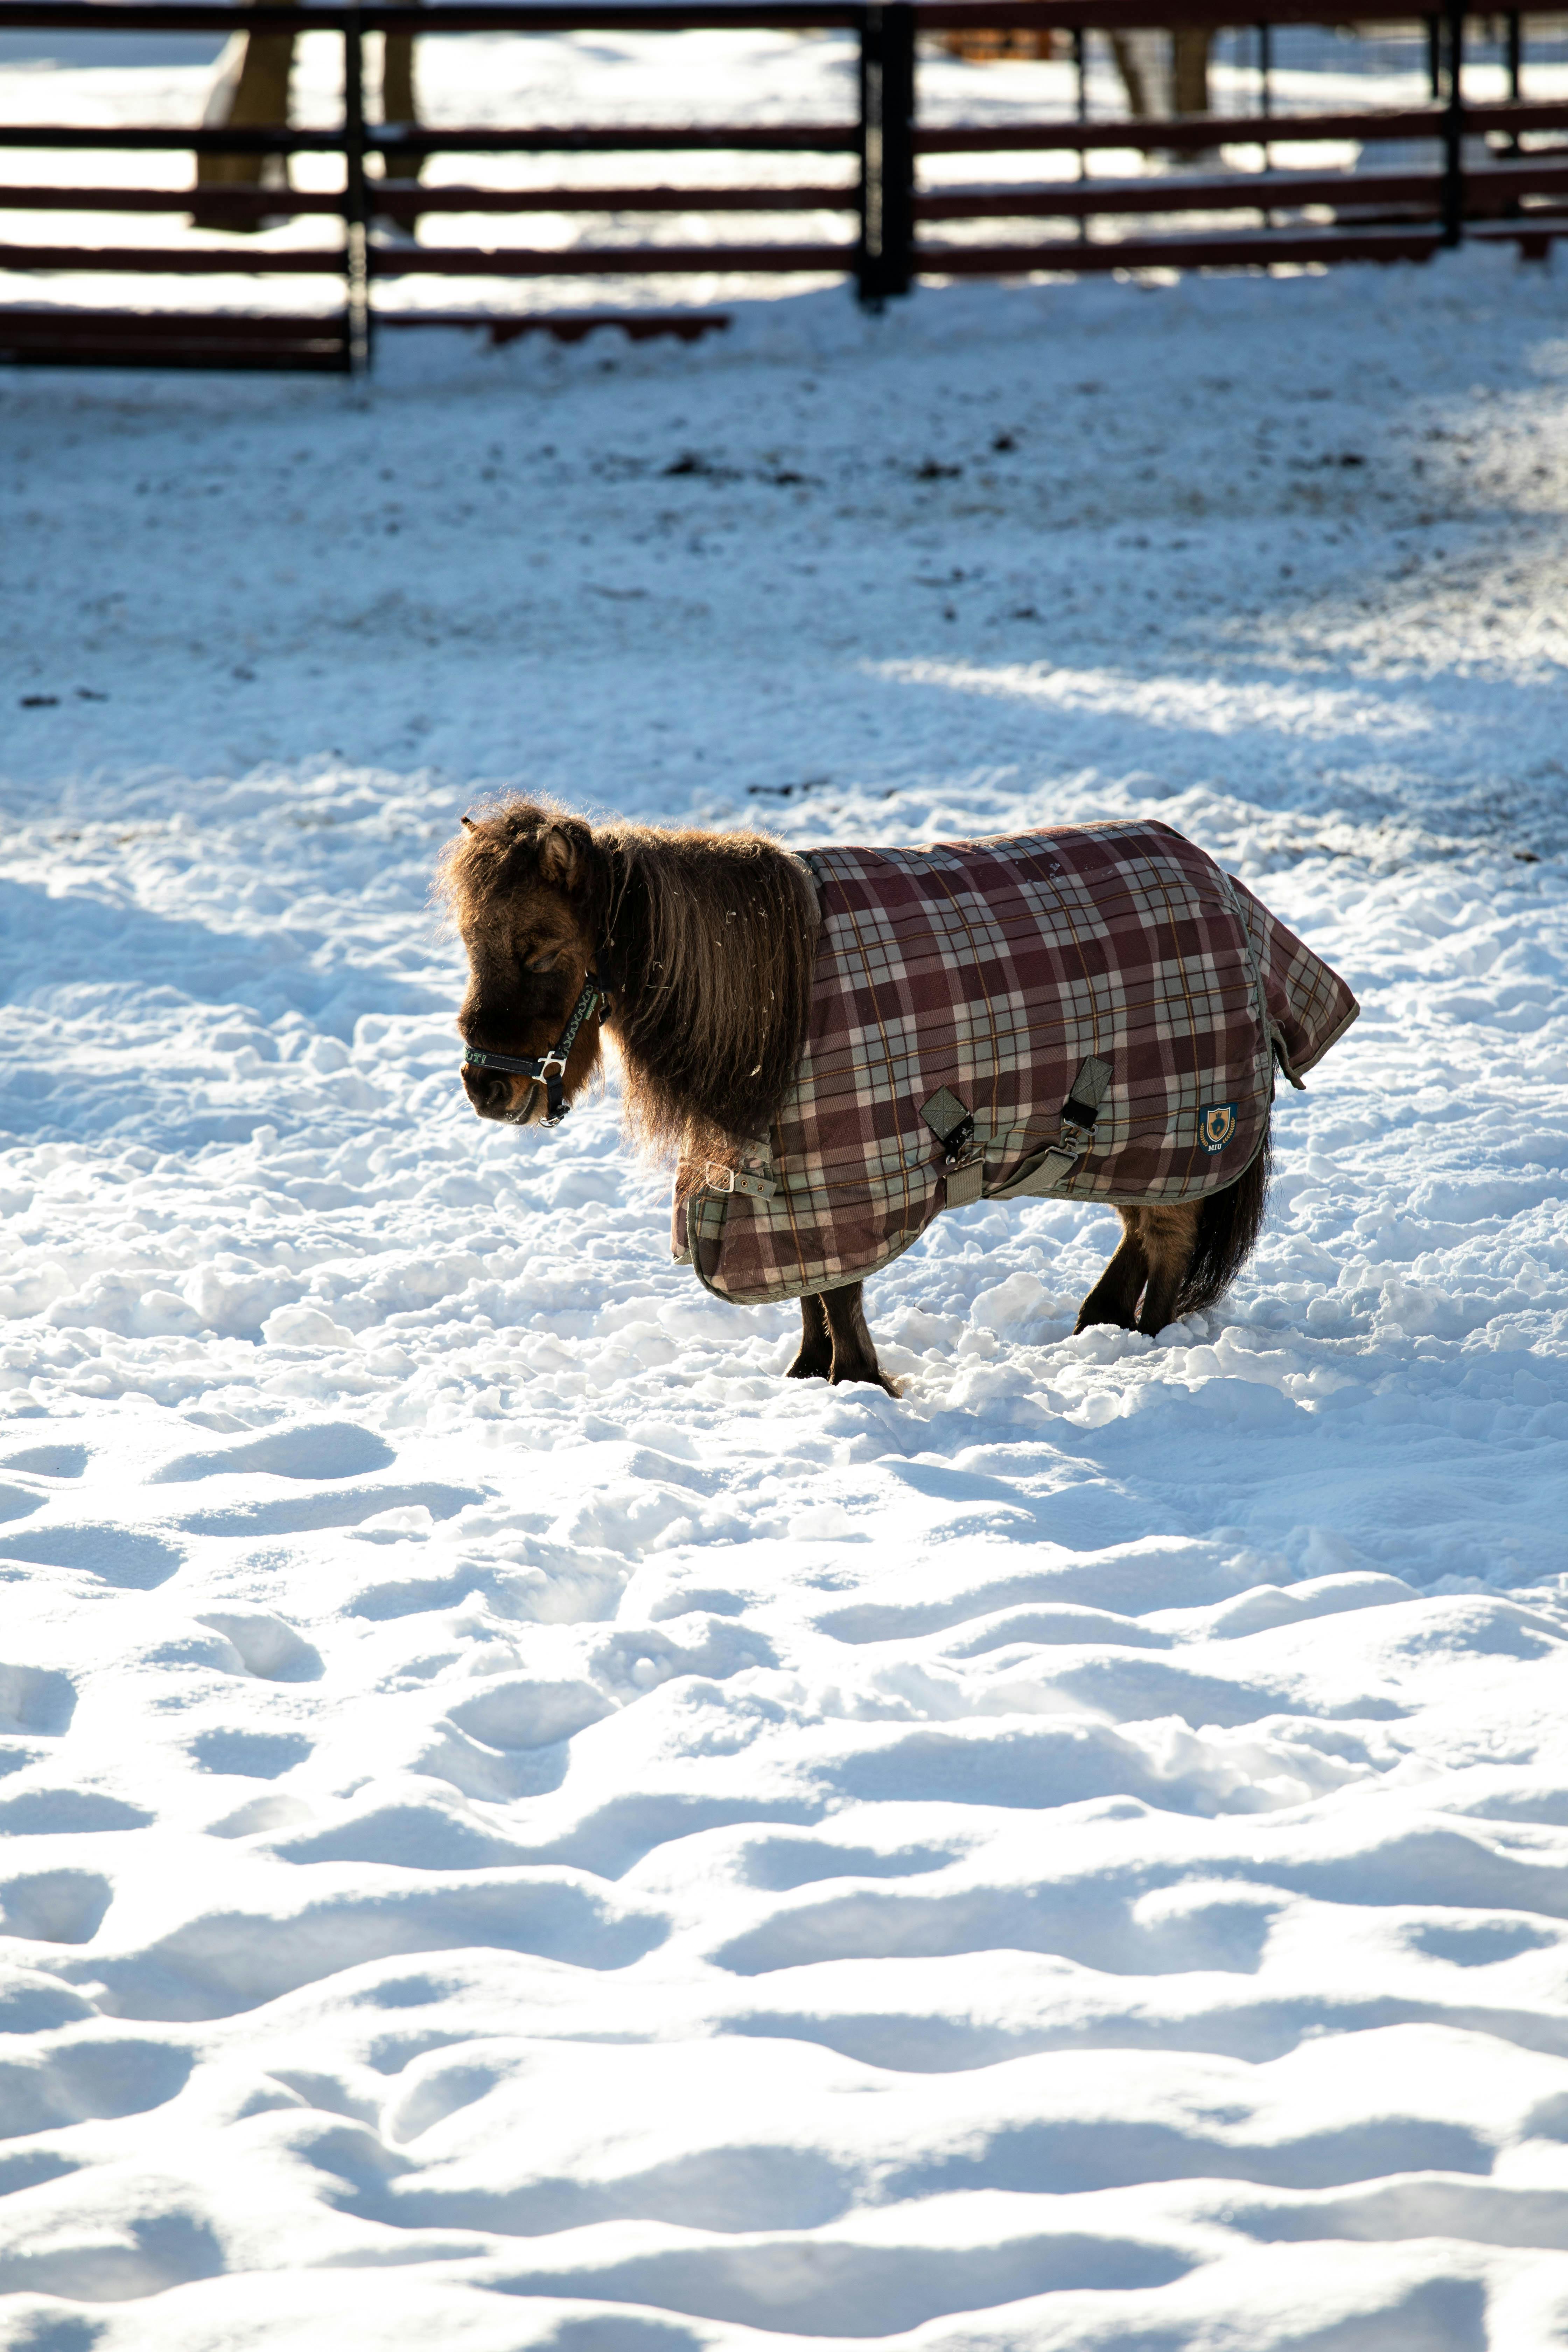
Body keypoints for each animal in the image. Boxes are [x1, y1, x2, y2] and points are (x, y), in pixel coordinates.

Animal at [437, 802, 1357, 1396]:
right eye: (471, 943)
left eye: (540, 949)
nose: (488, 1087)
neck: (775, 998)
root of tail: (1222, 883)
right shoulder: (779, 1187)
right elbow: (812, 1296)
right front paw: (811, 1379)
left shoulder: (844, 1185)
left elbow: (840, 1296)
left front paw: (858, 1384)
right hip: (1128, 1143)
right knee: (1140, 1231)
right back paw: (1096, 1326)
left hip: (1188, 1130)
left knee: (1167, 1242)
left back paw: (1146, 1342)